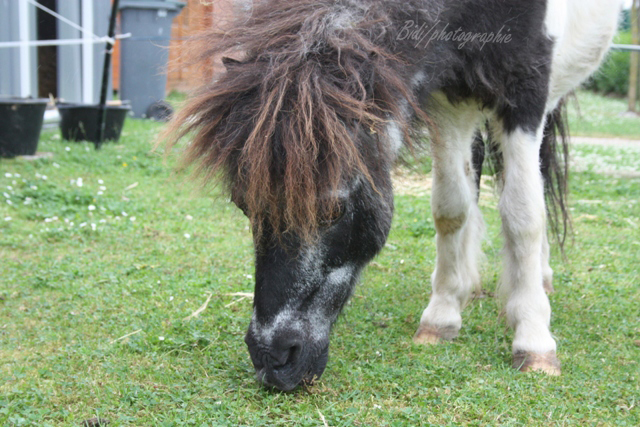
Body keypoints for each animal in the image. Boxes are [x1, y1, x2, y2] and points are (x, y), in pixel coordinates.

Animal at [164, 0, 620, 392]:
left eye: (334, 209)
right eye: (244, 206)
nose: (272, 358)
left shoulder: (524, 96)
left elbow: (523, 215)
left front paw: (534, 340)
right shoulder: (446, 101)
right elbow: (451, 208)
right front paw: (442, 316)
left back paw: (539, 279)